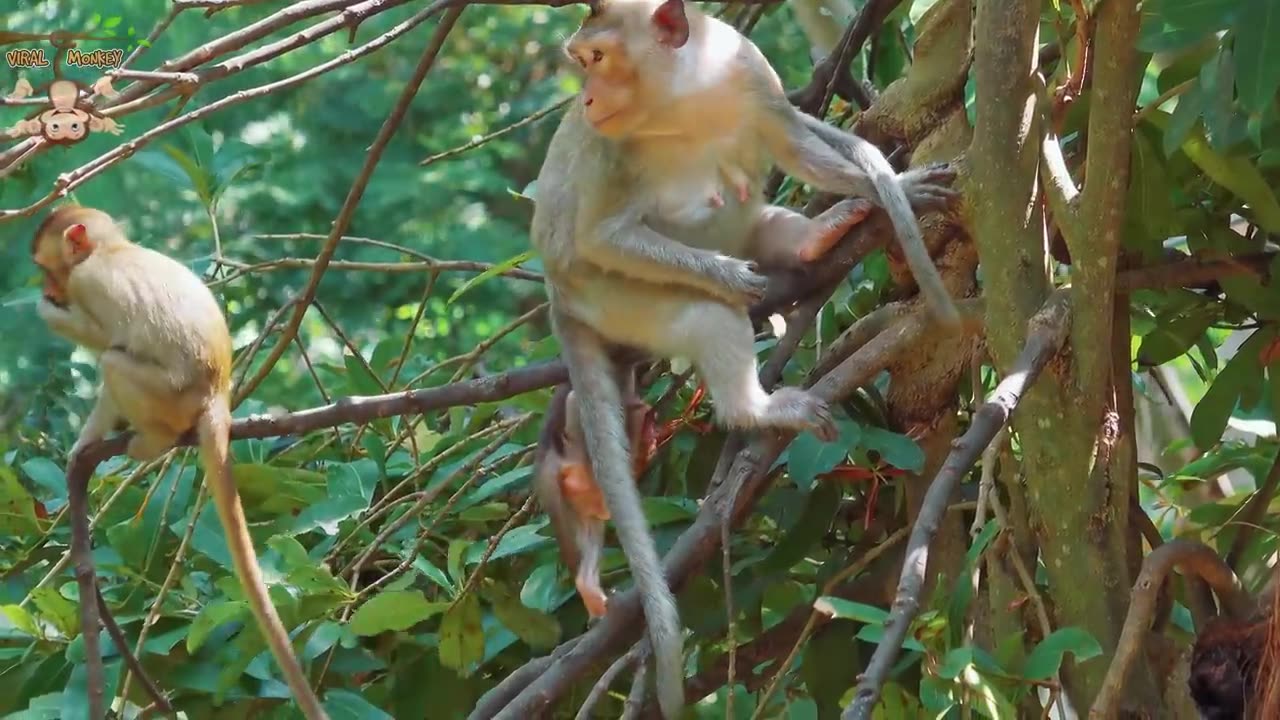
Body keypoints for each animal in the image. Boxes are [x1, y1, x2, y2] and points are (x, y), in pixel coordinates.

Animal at [31, 205, 329, 720]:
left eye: (50, 270)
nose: (50, 290)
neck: (113, 249)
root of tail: (217, 392)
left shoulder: (89, 283)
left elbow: (106, 337)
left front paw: (48, 314)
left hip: (169, 397)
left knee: (114, 359)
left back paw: (155, 439)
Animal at [529, 2, 959, 716]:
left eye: (596, 59)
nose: (585, 99)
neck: (683, 93)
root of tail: (561, 303)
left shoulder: (747, 67)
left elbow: (789, 143)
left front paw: (890, 182)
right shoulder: (610, 151)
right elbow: (602, 235)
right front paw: (733, 278)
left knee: (763, 218)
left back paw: (817, 236)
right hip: (616, 299)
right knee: (700, 312)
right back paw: (755, 406)